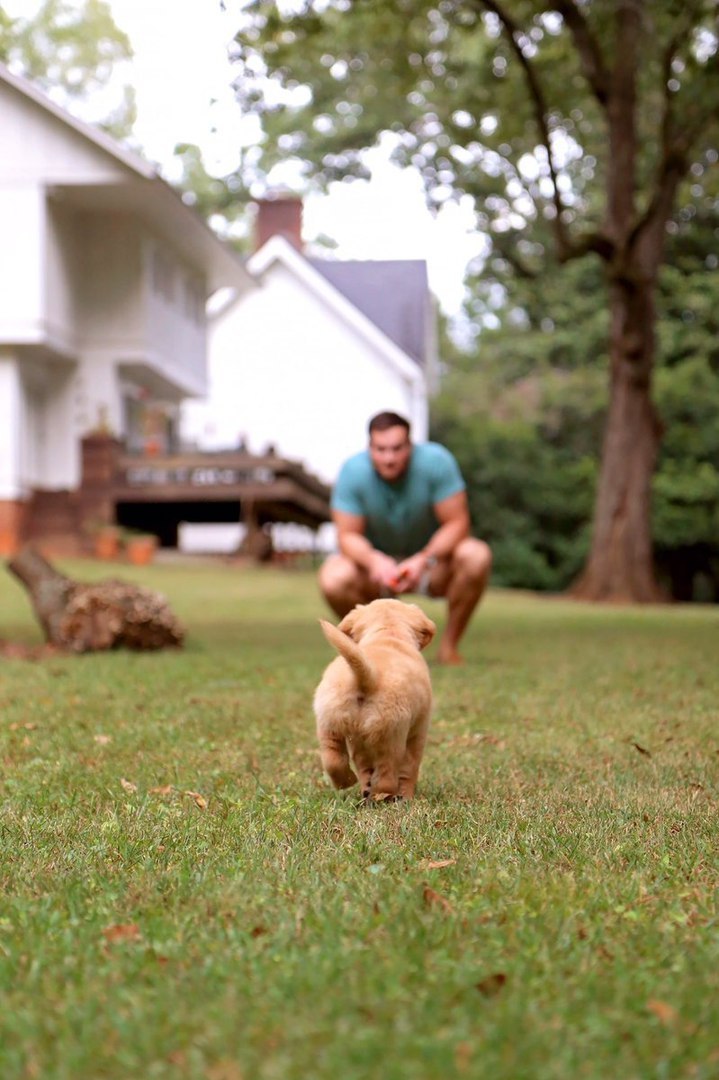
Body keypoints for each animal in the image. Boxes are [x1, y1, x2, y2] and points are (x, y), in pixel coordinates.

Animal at [315, 600, 436, 803]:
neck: (388, 635)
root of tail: (368, 676)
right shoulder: (418, 731)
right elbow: (409, 770)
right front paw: (407, 797)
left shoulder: (358, 742)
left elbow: (364, 767)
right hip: (392, 736)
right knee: (386, 775)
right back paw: (382, 796)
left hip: (329, 722)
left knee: (333, 760)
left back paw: (348, 782)